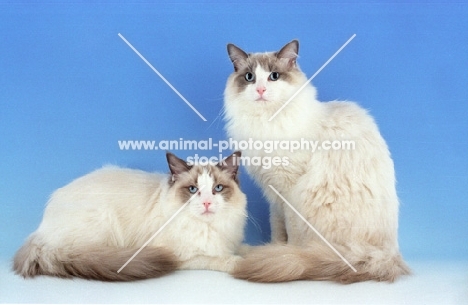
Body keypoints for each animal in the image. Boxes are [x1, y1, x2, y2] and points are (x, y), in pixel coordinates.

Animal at [12, 150, 247, 280]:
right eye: (192, 190)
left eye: (217, 188)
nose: (207, 203)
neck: (209, 227)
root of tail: (39, 232)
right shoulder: (182, 256)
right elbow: (220, 259)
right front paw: (241, 262)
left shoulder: (230, 240)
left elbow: (243, 248)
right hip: (101, 224)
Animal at [223, 39, 410, 282]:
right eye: (249, 77)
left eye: (274, 76)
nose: (261, 90)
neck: (267, 122)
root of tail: (389, 254)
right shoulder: (275, 196)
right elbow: (278, 231)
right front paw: (275, 250)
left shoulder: (289, 190)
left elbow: (291, 235)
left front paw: (285, 254)